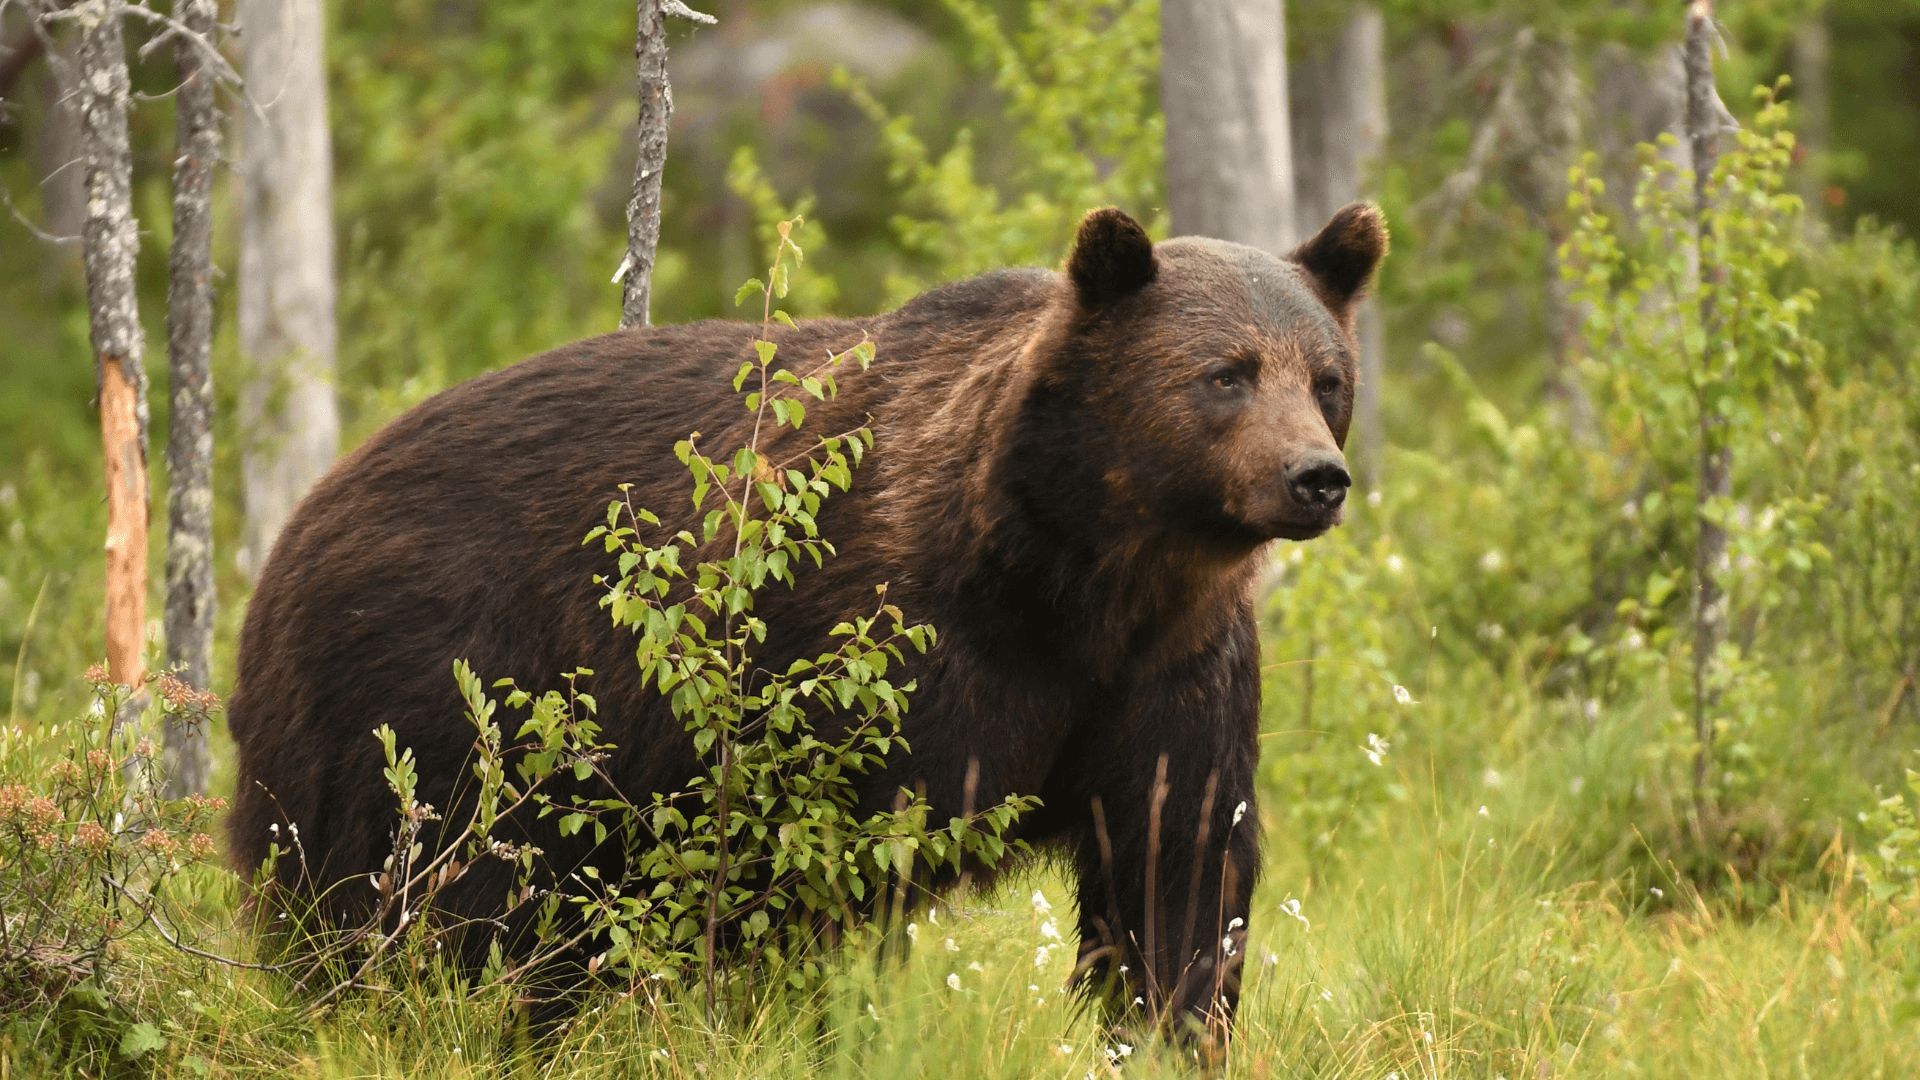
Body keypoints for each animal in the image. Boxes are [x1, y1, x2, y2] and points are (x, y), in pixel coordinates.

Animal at [227, 204, 1387, 1034]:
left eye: (1328, 376)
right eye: (1225, 374)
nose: (1315, 478)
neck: (1071, 577)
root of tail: (297, 522)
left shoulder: (1169, 671)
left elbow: (1178, 868)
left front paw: (1166, 1028)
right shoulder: (871, 654)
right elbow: (810, 870)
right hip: (431, 686)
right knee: (425, 889)